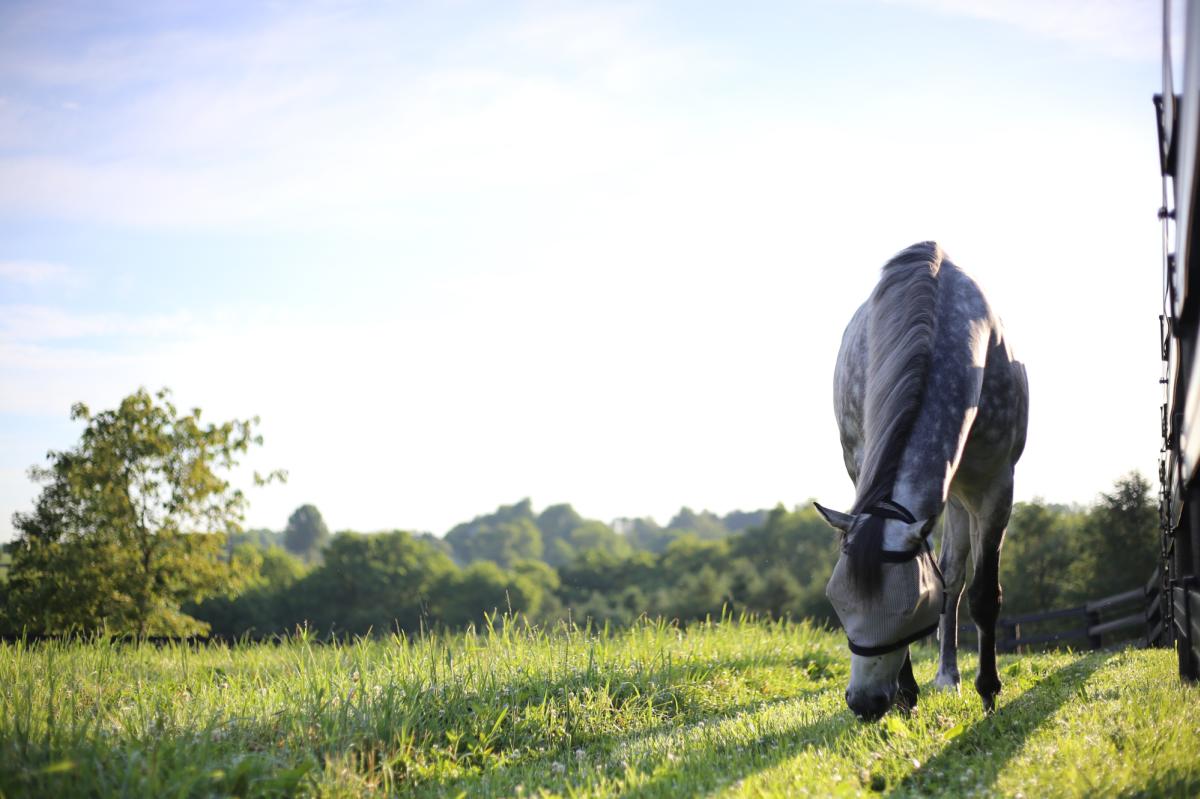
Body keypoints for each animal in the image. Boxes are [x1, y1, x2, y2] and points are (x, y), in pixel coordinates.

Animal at [814, 241, 1028, 721]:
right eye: (837, 601)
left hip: (964, 496)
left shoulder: (994, 487)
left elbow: (982, 595)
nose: (865, 702)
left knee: (955, 576)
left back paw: (952, 676)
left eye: (910, 606)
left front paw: (989, 692)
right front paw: (907, 696)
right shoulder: (864, 466)